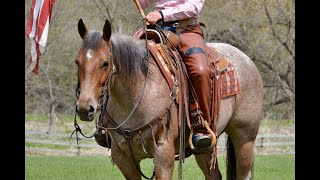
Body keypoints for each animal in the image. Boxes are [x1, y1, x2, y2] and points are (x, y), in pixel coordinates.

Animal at [74, 18, 262, 180]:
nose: (84, 108)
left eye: (105, 63)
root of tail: (246, 59)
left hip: (244, 138)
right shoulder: (122, 157)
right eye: (77, 61)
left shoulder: (164, 153)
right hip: (205, 147)